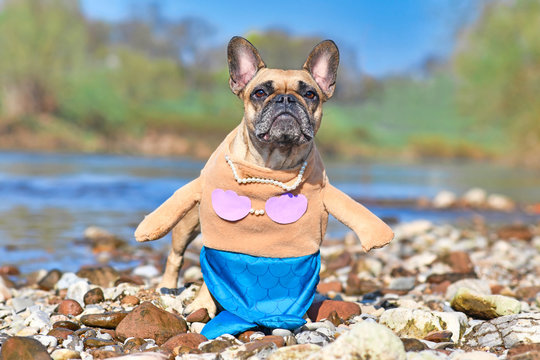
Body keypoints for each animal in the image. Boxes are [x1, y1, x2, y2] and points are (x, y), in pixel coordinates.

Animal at [135, 36, 392, 338]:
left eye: (310, 95)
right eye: (259, 93)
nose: (286, 98)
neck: (273, 164)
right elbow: (210, 273)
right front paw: (203, 305)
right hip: (187, 223)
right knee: (175, 256)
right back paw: (168, 285)